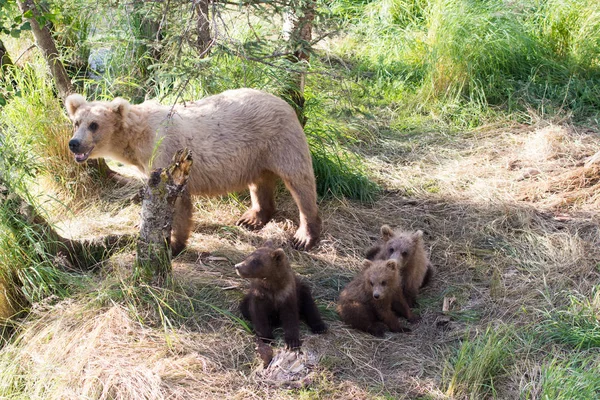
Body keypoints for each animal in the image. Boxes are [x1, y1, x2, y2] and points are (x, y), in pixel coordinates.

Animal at [63, 90, 322, 253]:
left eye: (94, 125)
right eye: (76, 122)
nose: (74, 143)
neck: (137, 141)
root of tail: (287, 103)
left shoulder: (166, 154)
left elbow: (177, 202)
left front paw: (173, 244)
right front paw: (143, 226)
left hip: (280, 140)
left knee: (300, 182)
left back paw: (304, 235)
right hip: (256, 154)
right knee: (260, 181)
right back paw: (251, 218)